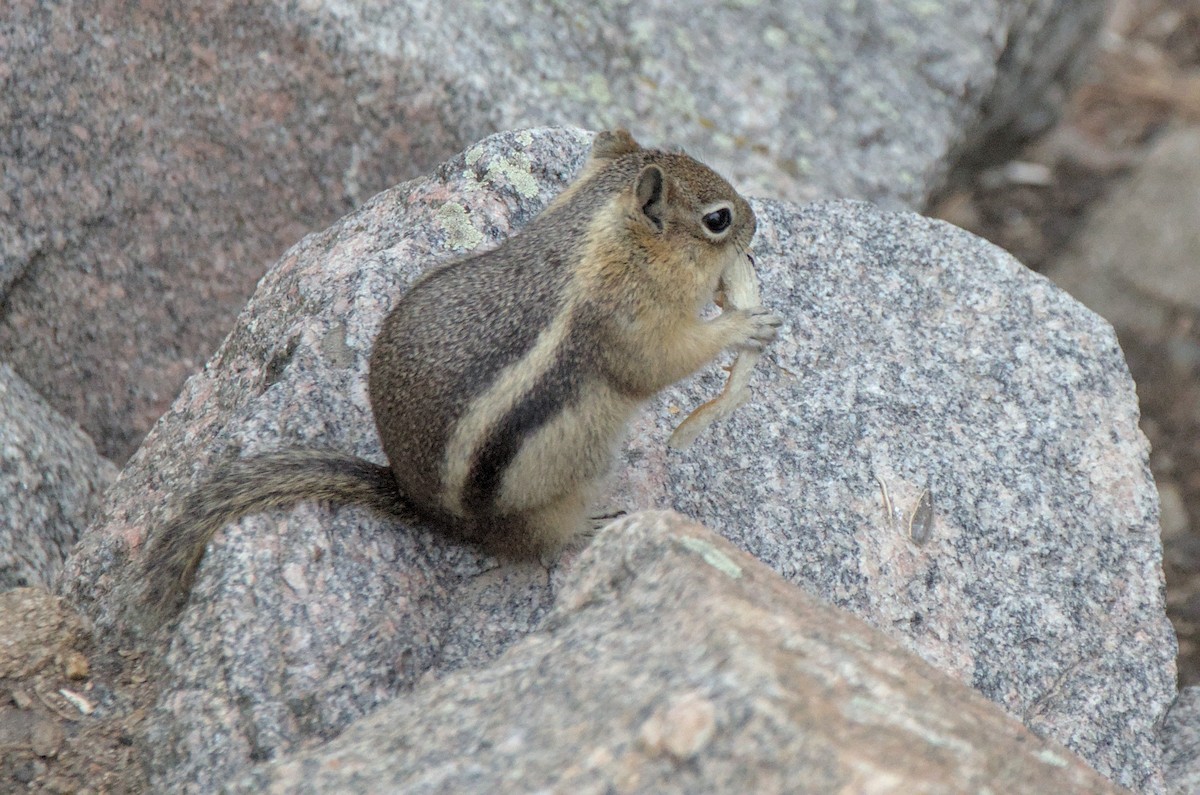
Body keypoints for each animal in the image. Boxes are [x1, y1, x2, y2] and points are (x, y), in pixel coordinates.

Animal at [141, 129, 781, 624]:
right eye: (718, 220)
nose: (756, 223)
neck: (605, 237)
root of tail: (418, 502)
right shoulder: (628, 324)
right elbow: (664, 361)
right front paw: (746, 324)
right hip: (550, 496)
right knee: (541, 542)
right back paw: (589, 527)